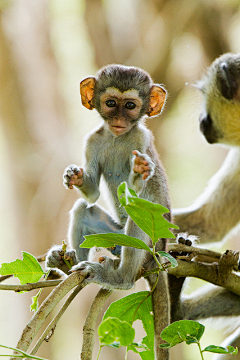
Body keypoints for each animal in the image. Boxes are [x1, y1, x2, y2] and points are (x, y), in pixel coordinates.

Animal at [45, 64, 171, 358]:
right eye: (111, 103)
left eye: (131, 106)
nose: (120, 119)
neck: (117, 137)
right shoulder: (92, 140)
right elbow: (91, 194)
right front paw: (75, 176)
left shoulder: (141, 139)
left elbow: (140, 192)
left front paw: (140, 171)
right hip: (113, 235)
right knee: (83, 208)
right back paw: (68, 267)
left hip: (150, 246)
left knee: (136, 217)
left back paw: (120, 278)